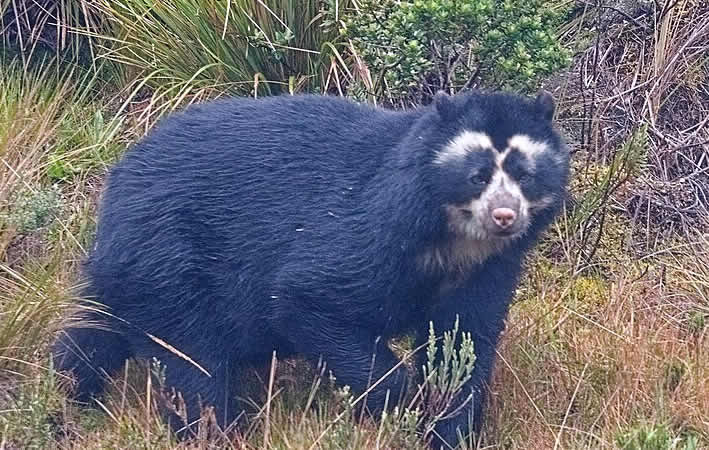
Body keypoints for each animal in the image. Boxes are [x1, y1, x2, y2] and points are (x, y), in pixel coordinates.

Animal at [51, 90, 568, 446]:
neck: (454, 241)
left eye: (524, 174)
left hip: (134, 269)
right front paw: (402, 402)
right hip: (169, 257)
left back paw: (67, 395)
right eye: (478, 175)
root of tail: (119, 178)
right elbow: (309, 297)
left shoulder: (489, 269)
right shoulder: (370, 230)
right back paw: (218, 431)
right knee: (190, 361)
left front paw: (449, 428)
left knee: (95, 334)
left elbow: (464, 340)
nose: (505, 216)